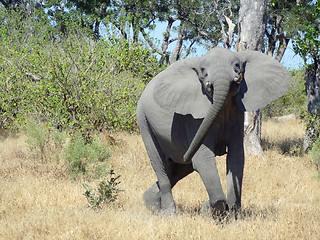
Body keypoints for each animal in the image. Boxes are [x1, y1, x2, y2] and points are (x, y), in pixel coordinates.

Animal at [136, 46, 292, 216]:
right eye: (203, 70)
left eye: (237, 65)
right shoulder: (194, 120)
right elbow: (203, 159)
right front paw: (210, 208)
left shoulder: (237, 113)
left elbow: (236, 157)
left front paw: (232, 213)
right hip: (144, 121)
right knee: (162, 167)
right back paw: (169, 214)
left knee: (178, 168)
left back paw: (150, 203)